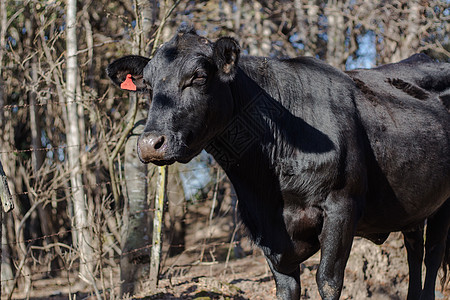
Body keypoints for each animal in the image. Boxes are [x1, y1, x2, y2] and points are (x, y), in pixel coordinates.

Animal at [109, 26, 450, 300]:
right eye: (148, 86)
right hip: (414, 206)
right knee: (414, 252)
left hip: (443, 205)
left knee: (432, 258)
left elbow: (328, 281)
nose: (150, 144)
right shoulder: (265, 229)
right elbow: (287, 288)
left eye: (199, 77)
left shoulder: (342, 205)